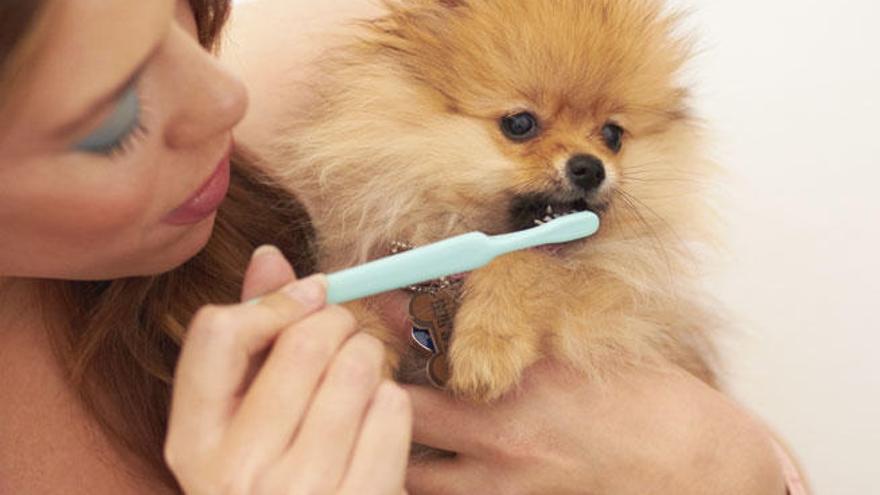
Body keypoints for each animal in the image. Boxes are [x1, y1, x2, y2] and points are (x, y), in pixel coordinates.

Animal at [272, 0, 720, 402]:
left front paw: (488, 343)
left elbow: (527, 263)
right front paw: (358, 333)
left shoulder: (617, 310)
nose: (590, 167)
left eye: (613, 135)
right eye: (520, 124)